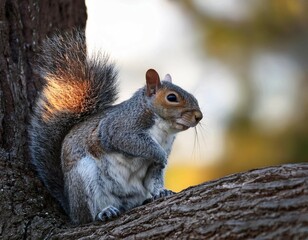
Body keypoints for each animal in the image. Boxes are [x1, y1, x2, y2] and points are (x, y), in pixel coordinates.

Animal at [28, 30, 202, 225]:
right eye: (172, 98)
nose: (199, 116)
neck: (164, 130)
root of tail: (72, 210)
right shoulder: (119, 128)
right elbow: (133, 142)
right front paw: (159, 155)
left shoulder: (155, 163)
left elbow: (153, 179)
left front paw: (161, 191)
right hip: (84, 178)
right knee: (88, 216)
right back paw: (103, 212)